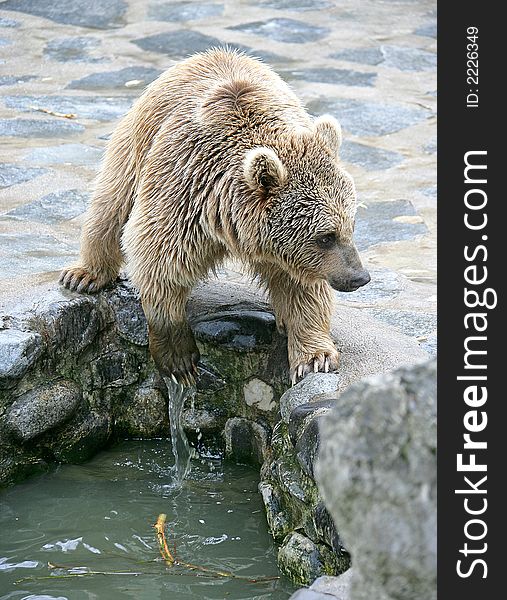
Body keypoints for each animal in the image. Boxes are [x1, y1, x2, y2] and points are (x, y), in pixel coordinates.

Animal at [60, 47, 370, 384]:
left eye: (351, 226)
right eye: (326, 236)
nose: (359, 277)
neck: (226, 218)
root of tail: (212, 53)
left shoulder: (290, 252)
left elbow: (302, 288)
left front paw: (315, 356)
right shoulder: (184, 190)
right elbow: (158, 258)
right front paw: (179, 358)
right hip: (139, 139)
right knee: (112, 202)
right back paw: (85, 274)